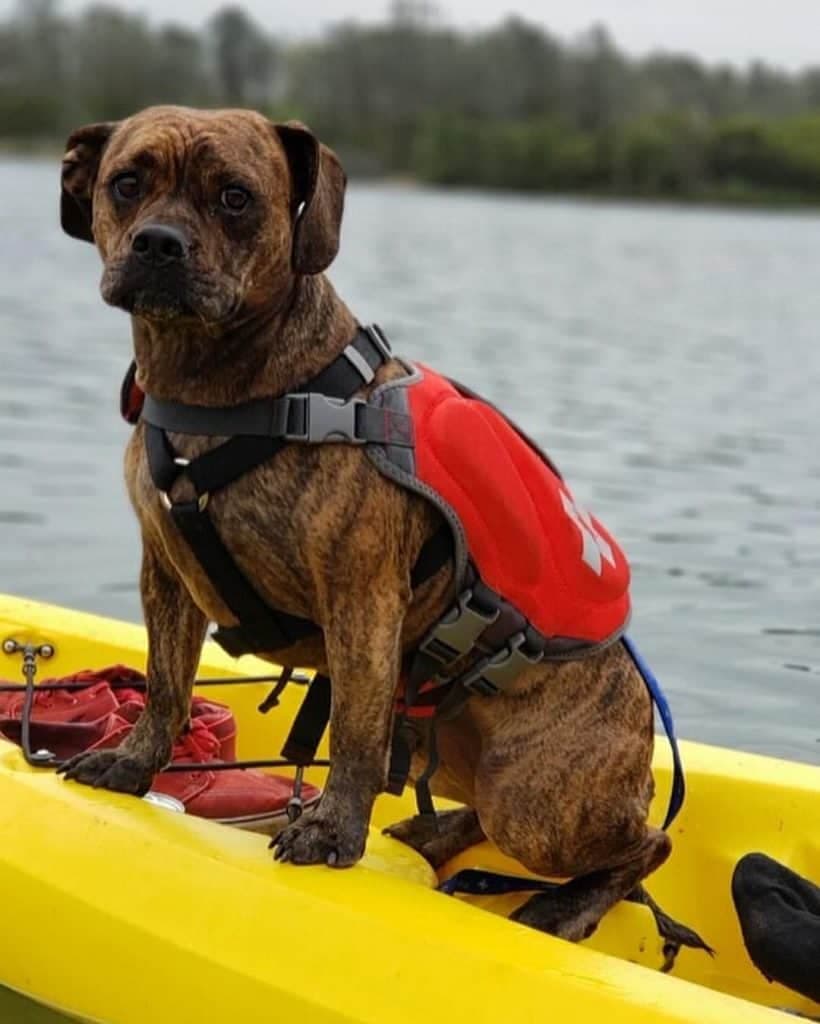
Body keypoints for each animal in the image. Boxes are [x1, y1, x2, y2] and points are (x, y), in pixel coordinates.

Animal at [57, 108, 700, 946]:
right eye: (126, 183)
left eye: (236, 197)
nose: (160, 243)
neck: (220, 384)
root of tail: (640, 703)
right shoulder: (163, 576)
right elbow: (168, 686)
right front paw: (133, 766)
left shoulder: (360, 598)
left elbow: (354, 738)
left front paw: (333, 831)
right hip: (456, 749)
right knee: (480, 810)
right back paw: (435, 831)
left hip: (536, 799)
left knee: (645, 842)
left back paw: (568, 904)